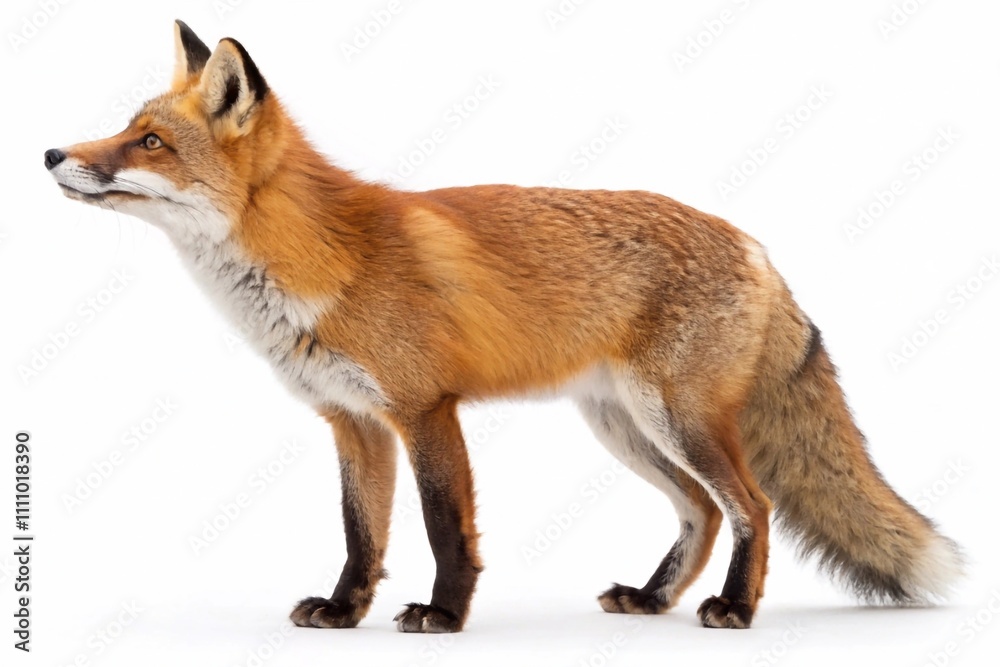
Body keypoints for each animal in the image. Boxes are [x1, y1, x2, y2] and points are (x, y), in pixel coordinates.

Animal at [44, 20, 963, 632]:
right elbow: (361, 533)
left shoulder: (425, 408)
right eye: (125, 128)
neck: (318, 258)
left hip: (678, 419)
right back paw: (651, 597)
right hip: (623, 427)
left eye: (149, 141)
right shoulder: (351, 421)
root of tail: (755, 244)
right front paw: (344, 610)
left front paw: (444, 615)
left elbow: (443, 527)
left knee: (753, 506)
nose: (51, 153)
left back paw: (733, 606)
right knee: (702, 513)